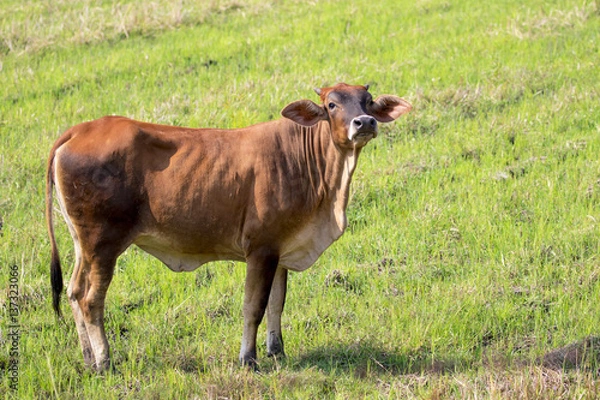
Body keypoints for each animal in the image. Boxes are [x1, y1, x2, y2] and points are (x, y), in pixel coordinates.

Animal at [47, 83, 412, 372]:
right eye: (332, 104)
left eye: (368, 100)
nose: (364, 122)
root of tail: (81, 130)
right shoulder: (261, 248)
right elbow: (254, 306)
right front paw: (248, 359)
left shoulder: (282, 248)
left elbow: (277, 303)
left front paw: (277, 351)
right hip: (103, 243)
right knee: (91, 300)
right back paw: (104, 361)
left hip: (83, 245)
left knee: (74, 291)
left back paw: (87, 358)